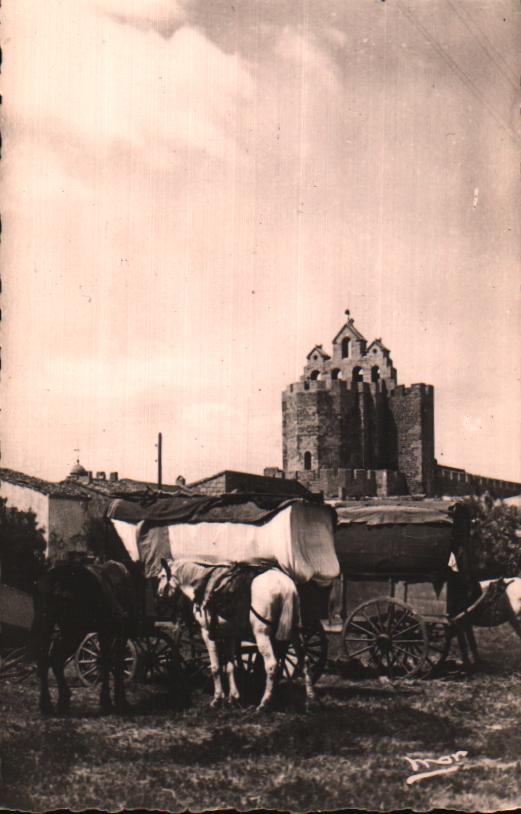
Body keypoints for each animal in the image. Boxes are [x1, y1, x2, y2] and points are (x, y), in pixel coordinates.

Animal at [31, 560, 137, 712]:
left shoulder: (107, 632)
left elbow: (106, 661)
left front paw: (109, 700)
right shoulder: (119, 632)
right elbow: (114, 662)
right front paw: (117, 701)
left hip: (48, 626)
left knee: (47, 659)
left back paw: (52, 703)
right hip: (74, 631)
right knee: (54, 659)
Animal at [156, 556, 314, 712]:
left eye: (162, 576)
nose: (158, 595)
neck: (204, 583)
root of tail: (284, 585)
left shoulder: (207, 632)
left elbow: (216, 666)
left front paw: (217, 699)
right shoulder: (229, 634)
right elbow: (230, 666)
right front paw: (233, 698)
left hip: (262, 634)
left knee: (271, 665)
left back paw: (264, 703)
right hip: (295, 632)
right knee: (305, 660)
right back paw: (310, 700)